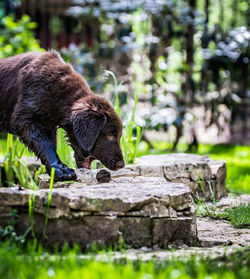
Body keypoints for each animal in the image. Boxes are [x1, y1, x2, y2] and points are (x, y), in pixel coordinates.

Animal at [0, 50, 125, 182]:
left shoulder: (48, 125)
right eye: (110, 134)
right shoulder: (25, 119)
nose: (122, 165)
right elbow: (46, 145)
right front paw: (61, 170)